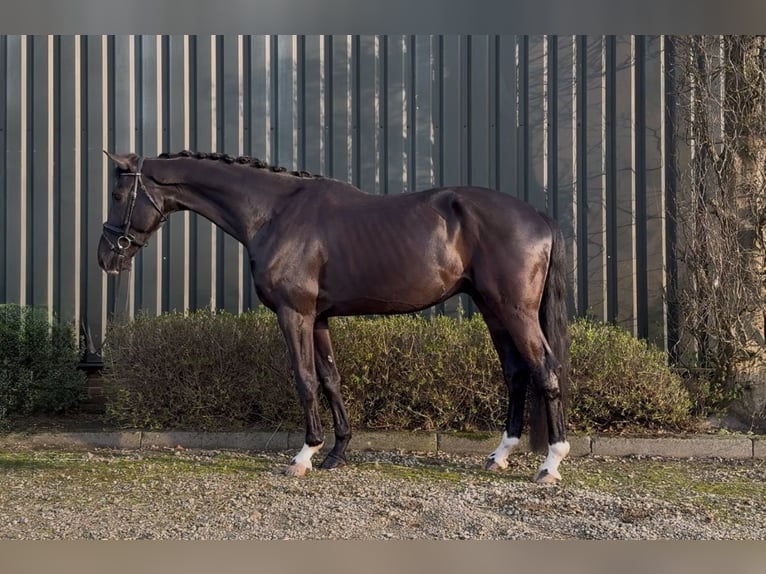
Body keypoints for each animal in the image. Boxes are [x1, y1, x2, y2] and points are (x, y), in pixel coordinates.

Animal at [98, 150, 571, 484]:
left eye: (118, 196)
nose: (106, 258)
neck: (274, 212)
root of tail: (538, 216)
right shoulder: (319, 318)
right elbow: (330, 379)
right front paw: (336, 452)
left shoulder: (294, 314)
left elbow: (305, 380)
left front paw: (304, 455)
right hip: (494, 310)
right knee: (516, 373)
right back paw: (501, 455)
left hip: (515, 311)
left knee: (545, 370)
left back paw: (551, 464)